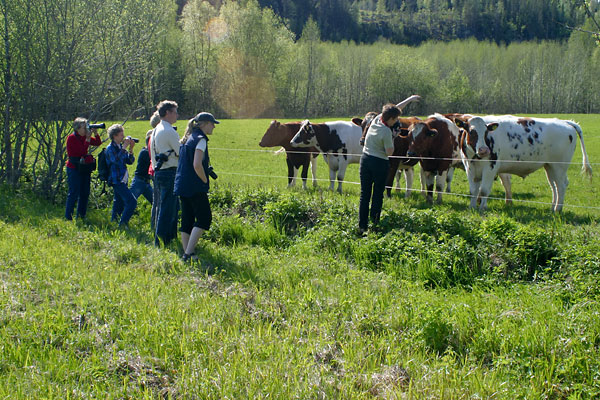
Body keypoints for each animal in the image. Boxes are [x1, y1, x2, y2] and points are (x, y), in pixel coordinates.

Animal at [458, 114, 592, 211]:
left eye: (486, 132)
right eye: (471, 131)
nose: (484, 150)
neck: (474, 158)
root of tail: (565, 122)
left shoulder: (491, 167)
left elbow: (484, 190)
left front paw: (482, 208)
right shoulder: (469, 168)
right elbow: (473, 190)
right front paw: (472, 207)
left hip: (559, 166)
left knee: (561, 186)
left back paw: (558, 209)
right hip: (549, 166)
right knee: (553, 186)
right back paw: (552, 207)